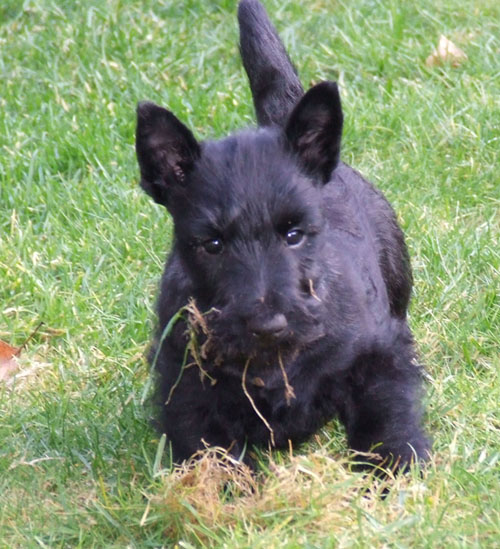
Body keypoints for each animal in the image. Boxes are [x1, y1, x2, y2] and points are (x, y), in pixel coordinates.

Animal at [135, 0, 429, 473]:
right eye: (212, 244)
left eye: (294, 234)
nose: (268, 325)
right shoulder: (186, 388)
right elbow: (210, 450)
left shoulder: (380, 355)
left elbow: (387, 416)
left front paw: (397, 469)